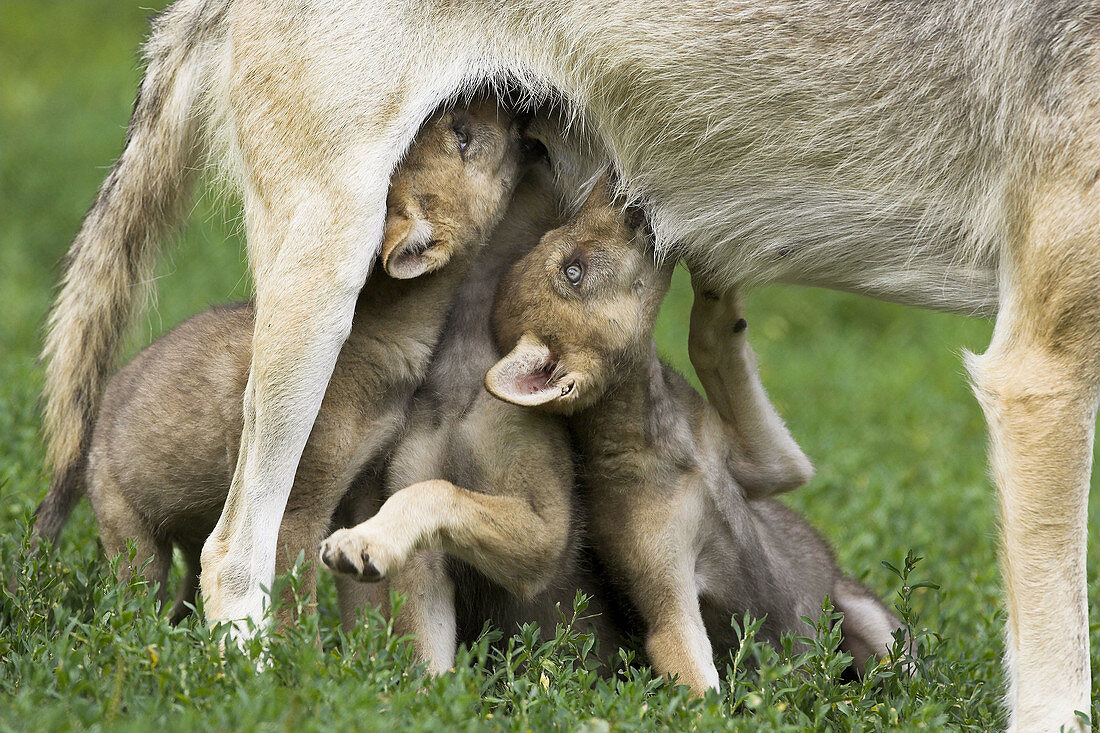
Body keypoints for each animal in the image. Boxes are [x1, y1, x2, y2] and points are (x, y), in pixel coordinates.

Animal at [34, 2, 1100, 726]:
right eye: (577, 268)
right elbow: (1058, 669)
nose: (637, 201)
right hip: (320, 300)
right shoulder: (1039, 373)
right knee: (233, 552)